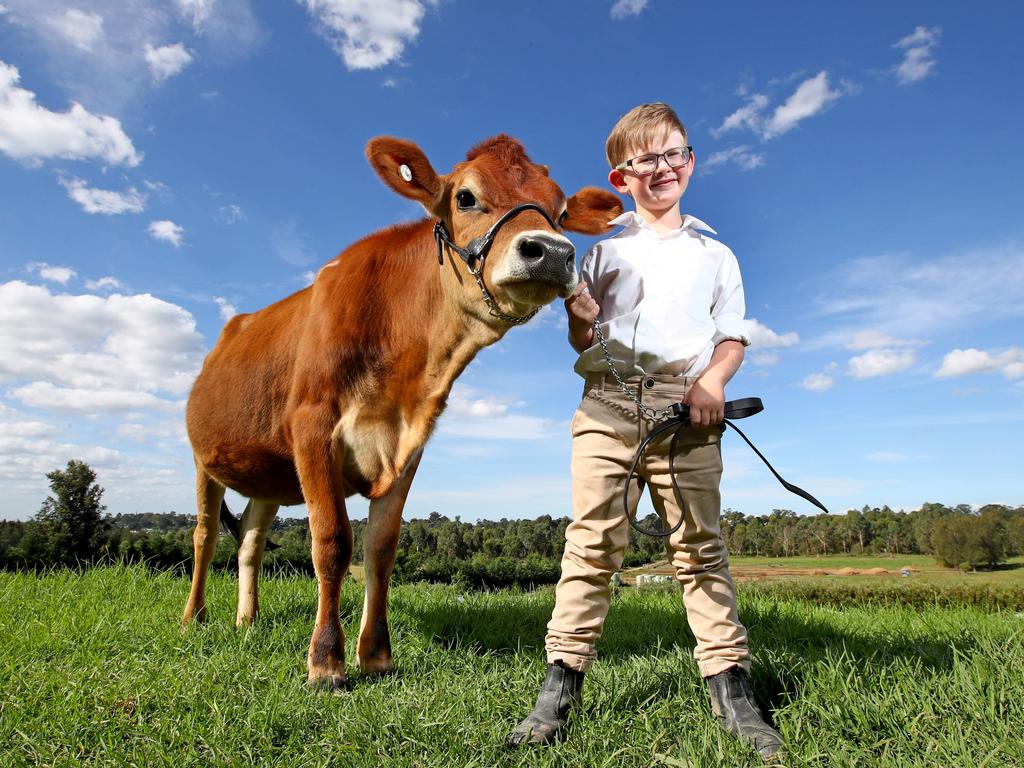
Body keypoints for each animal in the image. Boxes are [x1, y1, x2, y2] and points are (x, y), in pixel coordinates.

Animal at [180, 134, 618, 692]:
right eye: (466, 197)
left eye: (561, 212)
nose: (552, 252)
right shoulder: (313, 428)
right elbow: (332, 543)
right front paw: (326, 661)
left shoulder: (409, 446)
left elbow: (381, 549)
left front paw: (377, 655)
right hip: (203, 461)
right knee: (205, 536)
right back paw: (194, 617)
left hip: (270, 476)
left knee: (250, 543)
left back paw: (247, 620)